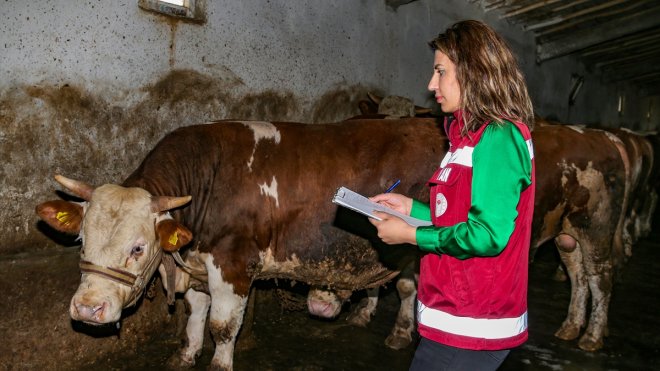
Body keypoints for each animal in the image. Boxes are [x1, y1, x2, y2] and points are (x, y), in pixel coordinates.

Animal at [37, 118, 448, 370]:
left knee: (408, 286)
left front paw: (219, 363)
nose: (88, 309)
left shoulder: (232, 263)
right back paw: (366, 315)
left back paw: (399, 332)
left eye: (138, 248)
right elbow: (195, 315)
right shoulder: (200, 263)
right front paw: (186, 355)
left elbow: (222, 325)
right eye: (82, 240)